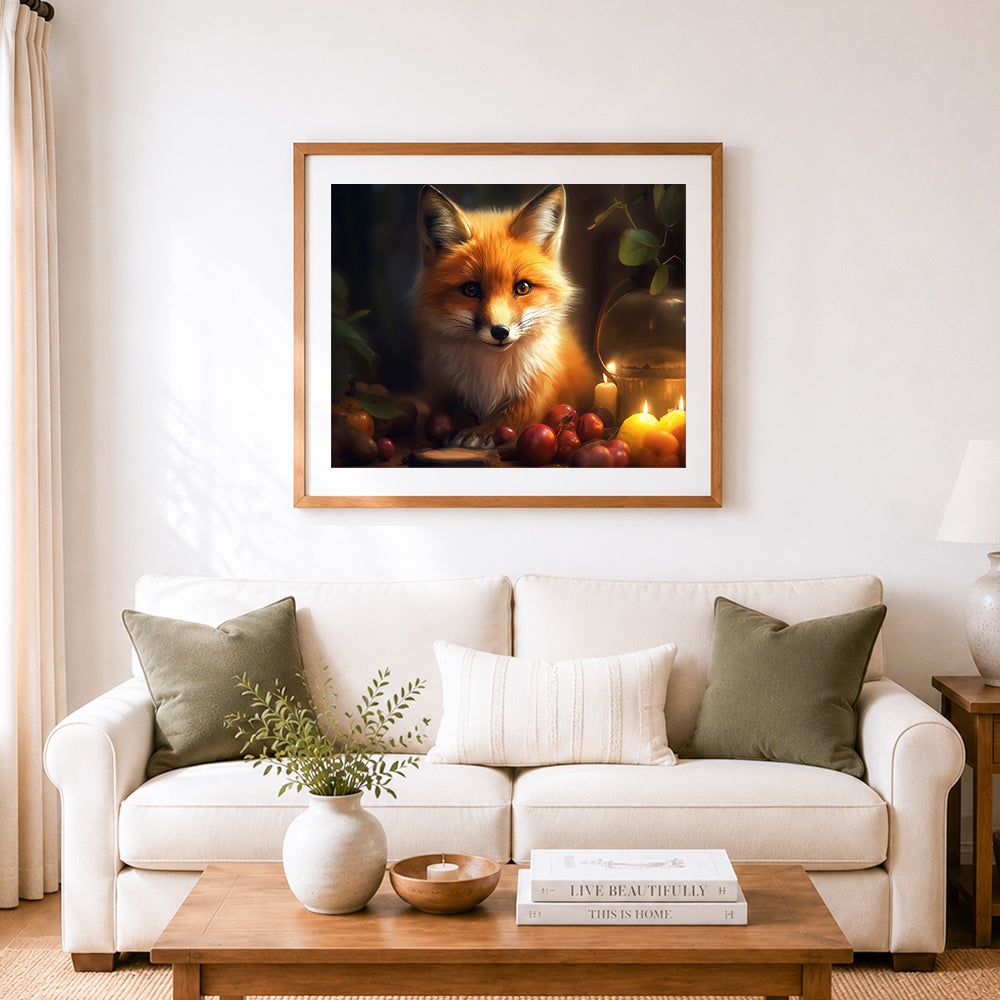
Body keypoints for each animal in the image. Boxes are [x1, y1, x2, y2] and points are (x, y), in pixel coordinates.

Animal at [412, 183, 595, 448]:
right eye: (471, 290)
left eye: (523, 288)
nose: (499, 332)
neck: (492, 374)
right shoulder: (446, 388)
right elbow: (457, 411)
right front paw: (463, 429)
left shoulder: (538, 389)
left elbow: (514, 416)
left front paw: (483, 431)